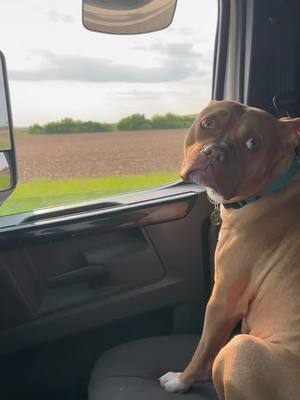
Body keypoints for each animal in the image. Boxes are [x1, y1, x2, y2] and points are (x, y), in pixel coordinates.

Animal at [161, 101, 300, 400]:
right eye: (208, 123)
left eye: (252, 143)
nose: (215, 152)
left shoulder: (222, 300)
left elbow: (203, 349)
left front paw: (181, 380)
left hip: (240, 349)